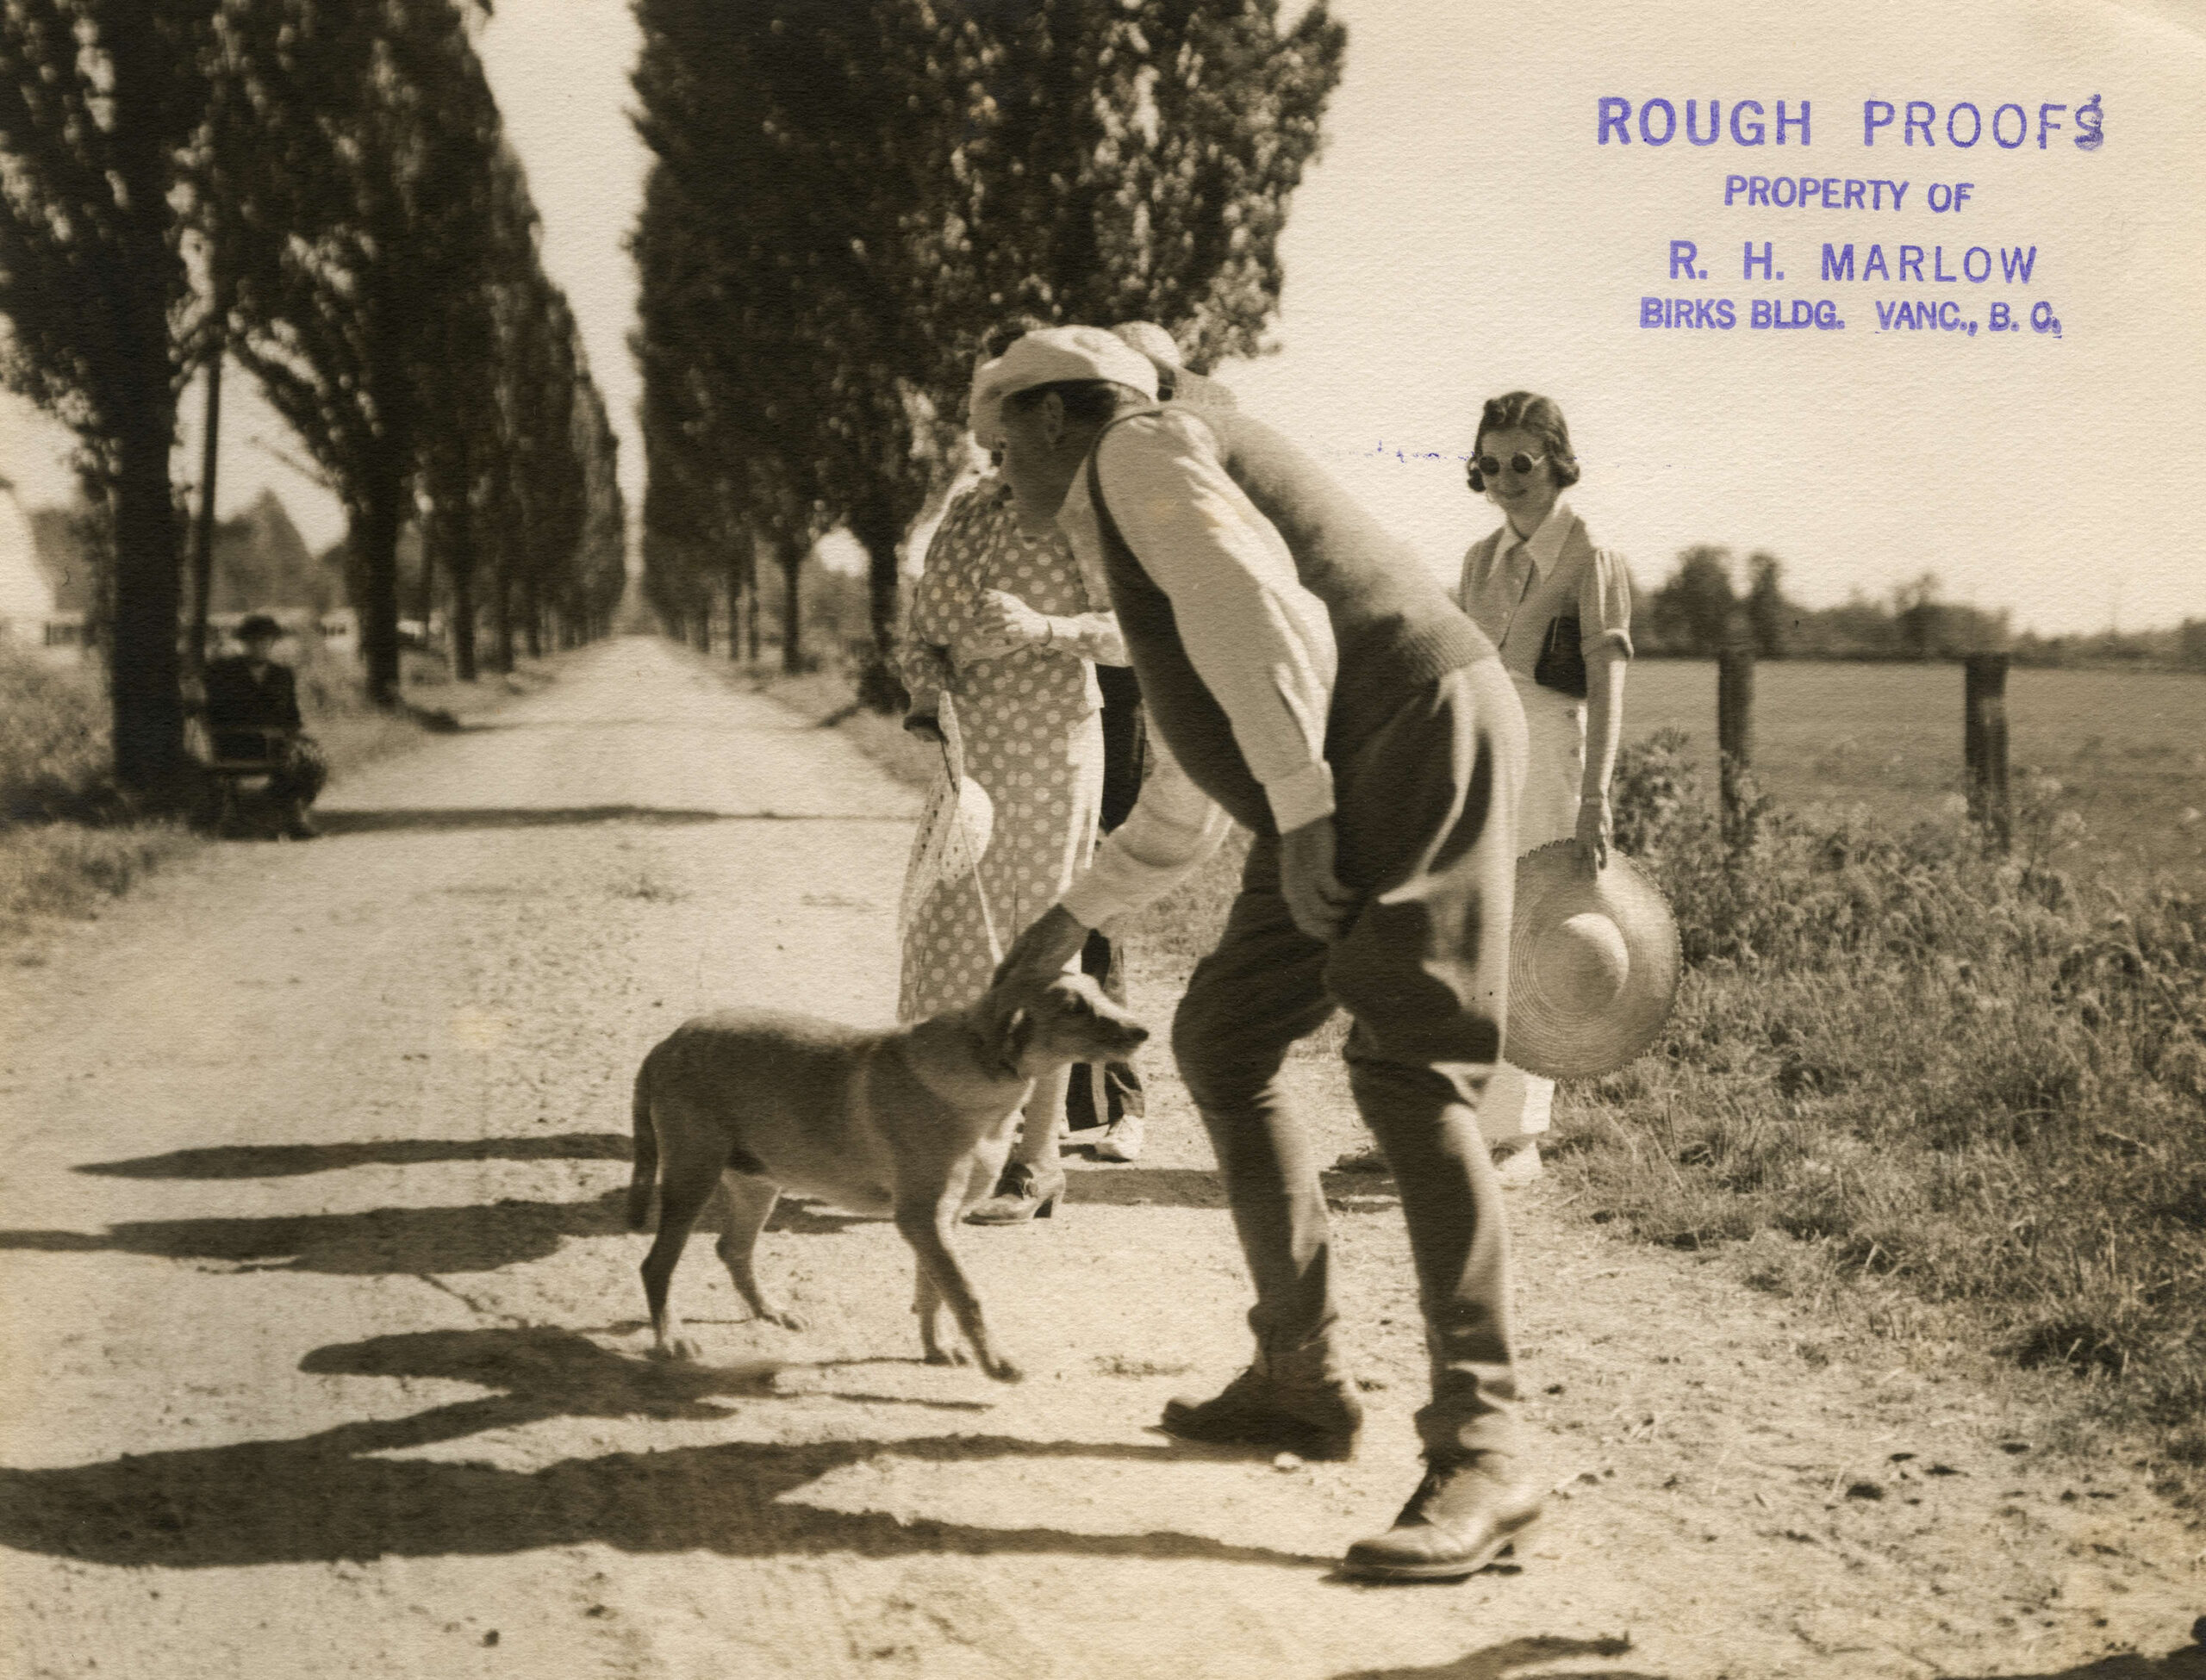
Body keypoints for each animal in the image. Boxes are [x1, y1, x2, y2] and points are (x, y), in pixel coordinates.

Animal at [617, 969, 1137, 1375]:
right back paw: (672, 1340)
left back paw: (771, 1311)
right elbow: (965, 1294)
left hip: (757, 1182)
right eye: (1072, 1008)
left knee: (733, 1249)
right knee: (656, 1266)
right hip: (692, 1178)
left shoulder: (941, 1220)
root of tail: (667, 1043)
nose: (1144, 1031)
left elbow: (934, 1291)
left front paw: (937, 1348)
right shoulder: (922, 1218)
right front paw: (997, 1362)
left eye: (1099, 991)